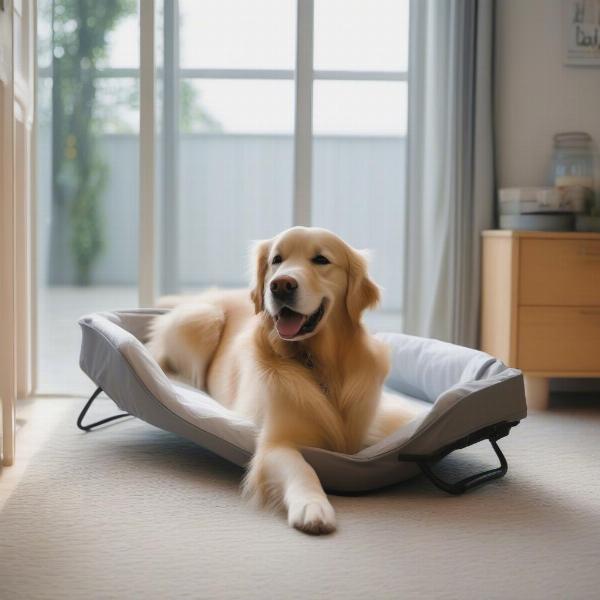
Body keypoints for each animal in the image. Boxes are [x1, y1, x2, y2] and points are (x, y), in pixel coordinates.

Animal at [148, 226, 414, 536]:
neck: (319, 363)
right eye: (276, 259)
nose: (280, 285)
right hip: (202, 318)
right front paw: (313, 506)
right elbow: (302, 467)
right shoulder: (275, 442)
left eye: (321, 260)